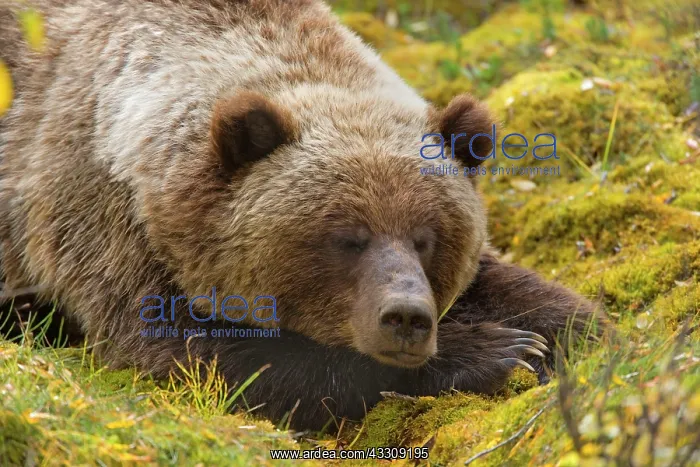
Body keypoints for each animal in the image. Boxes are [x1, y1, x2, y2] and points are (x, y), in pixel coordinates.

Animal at [0, 0, 600, 430]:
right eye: (347, 237)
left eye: (427, 238)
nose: (407, 318)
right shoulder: (104, 220)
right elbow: (198, 353)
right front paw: (496, 349)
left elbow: (517, 289)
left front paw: (573, 338)